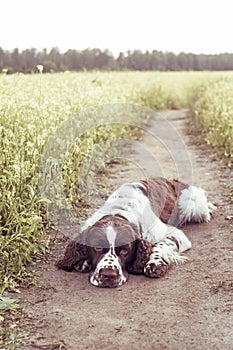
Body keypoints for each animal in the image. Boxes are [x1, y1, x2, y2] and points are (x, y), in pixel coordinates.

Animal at [56, 176, 215, 288]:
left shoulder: (175, 234)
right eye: (97, 248)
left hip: (196, 206)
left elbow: (159, 245)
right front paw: (83, 262)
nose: (108, 275)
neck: (118, 212)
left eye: (125, 251)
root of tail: (171, 180)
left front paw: (155, 263)